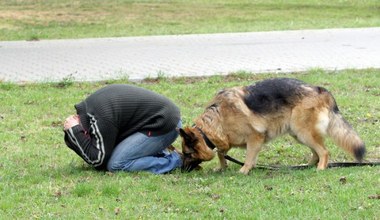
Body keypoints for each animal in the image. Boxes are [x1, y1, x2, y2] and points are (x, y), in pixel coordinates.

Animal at [180, 78, 366, 174]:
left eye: (187, 154)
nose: (180, 170)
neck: (218, 117)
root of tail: (320, 89)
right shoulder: (225, 141)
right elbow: (221, 153)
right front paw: (222, 167)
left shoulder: (255, 138)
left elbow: (248, 157)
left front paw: (244, 171)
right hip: (299, 134)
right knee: (316, 152)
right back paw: (308, 165)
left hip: (303, 132)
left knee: (324, 151)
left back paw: (320, 168)